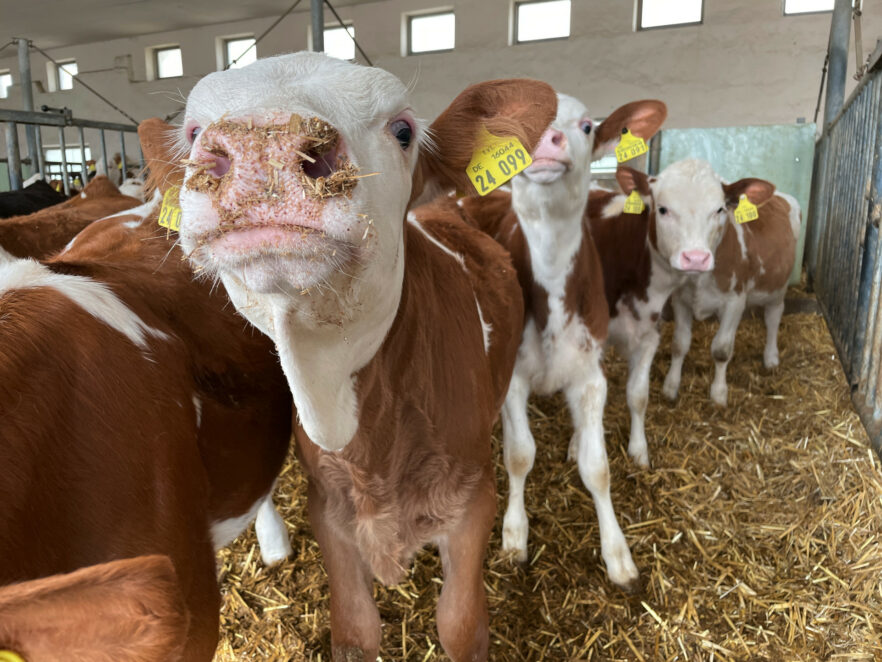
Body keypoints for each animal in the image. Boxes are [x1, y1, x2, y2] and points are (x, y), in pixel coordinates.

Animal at [174, 53, 552, 662]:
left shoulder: (472, 499)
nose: (262, 144)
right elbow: (354, 628)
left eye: (403, 130)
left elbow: (460, 624)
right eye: (190, 133)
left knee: (519, 449)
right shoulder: (329, 507)